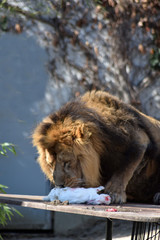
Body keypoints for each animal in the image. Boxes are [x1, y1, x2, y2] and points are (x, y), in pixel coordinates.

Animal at [31, 91, 160, 203]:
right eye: (50, 165)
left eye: (67, 162)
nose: (59, 185)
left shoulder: (139, 138)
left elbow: (125, 168)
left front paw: (114, 192)